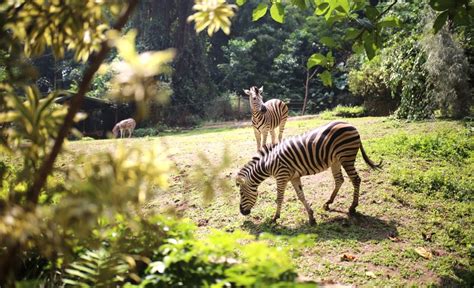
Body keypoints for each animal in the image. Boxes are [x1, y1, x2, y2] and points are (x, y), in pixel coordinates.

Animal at [235, 121, 384, 225]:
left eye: (241, 194)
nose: (242, 212)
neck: (268, 163)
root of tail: (351, 125)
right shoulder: (293, 177)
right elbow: (301, 196)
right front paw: (311, 217)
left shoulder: (282, 176)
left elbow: (279, 198)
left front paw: (275, 217)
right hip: (336, 160)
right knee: (339, 180)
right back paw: (328, 203)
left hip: (346, 157)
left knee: (356, 179)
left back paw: (352, 207)